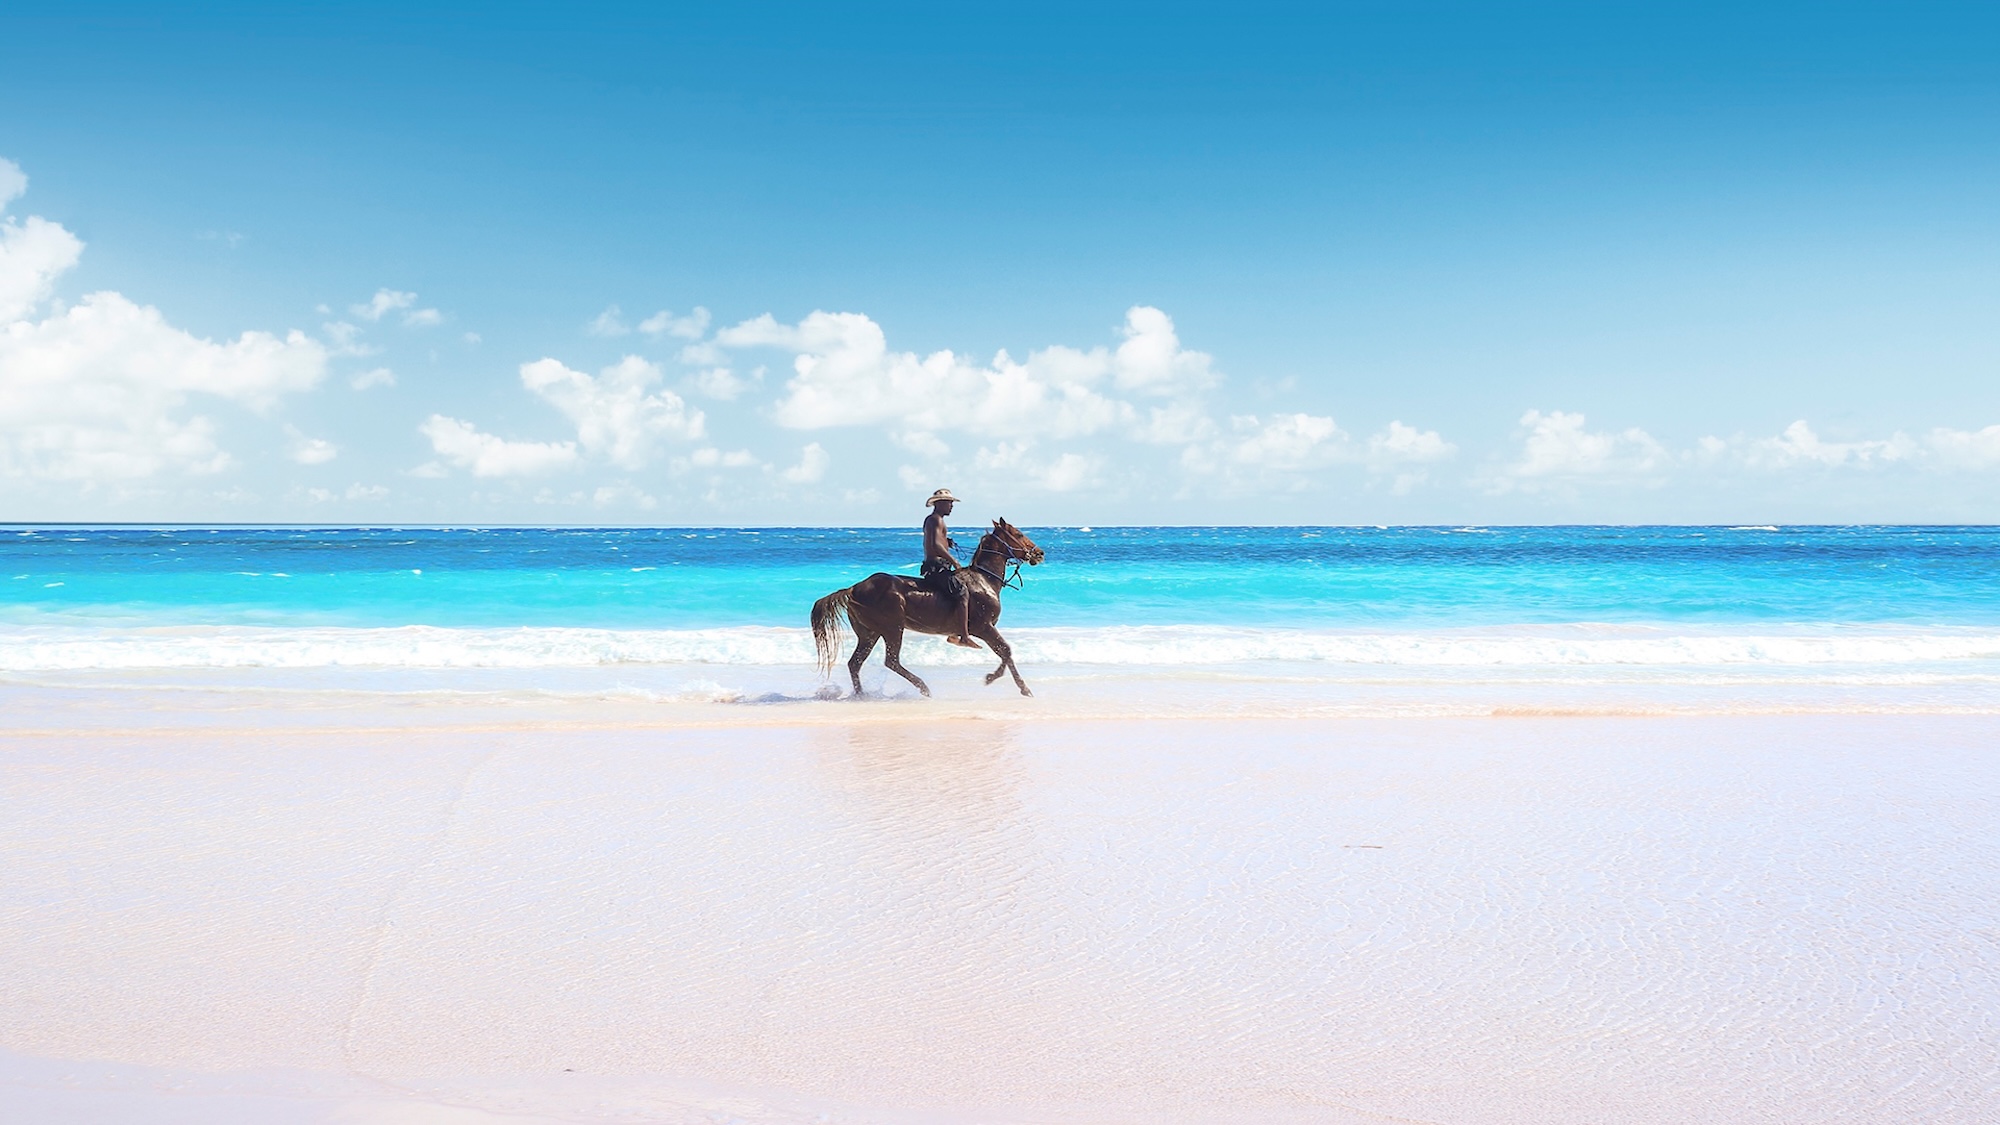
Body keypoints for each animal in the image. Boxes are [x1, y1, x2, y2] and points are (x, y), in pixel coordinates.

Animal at [811, 519, 1046, 698]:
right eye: (1019, 533)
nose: (1040, 553)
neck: (984, 579)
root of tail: (854, 588)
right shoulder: (985, 627)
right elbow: (1006, 650)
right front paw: (1009, 684)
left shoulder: (986, 629)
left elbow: (1004, 652)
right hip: (892, 629)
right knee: (891, 661)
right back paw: (923, 688)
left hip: (870, 633)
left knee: (855, 663)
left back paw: (862, 695)